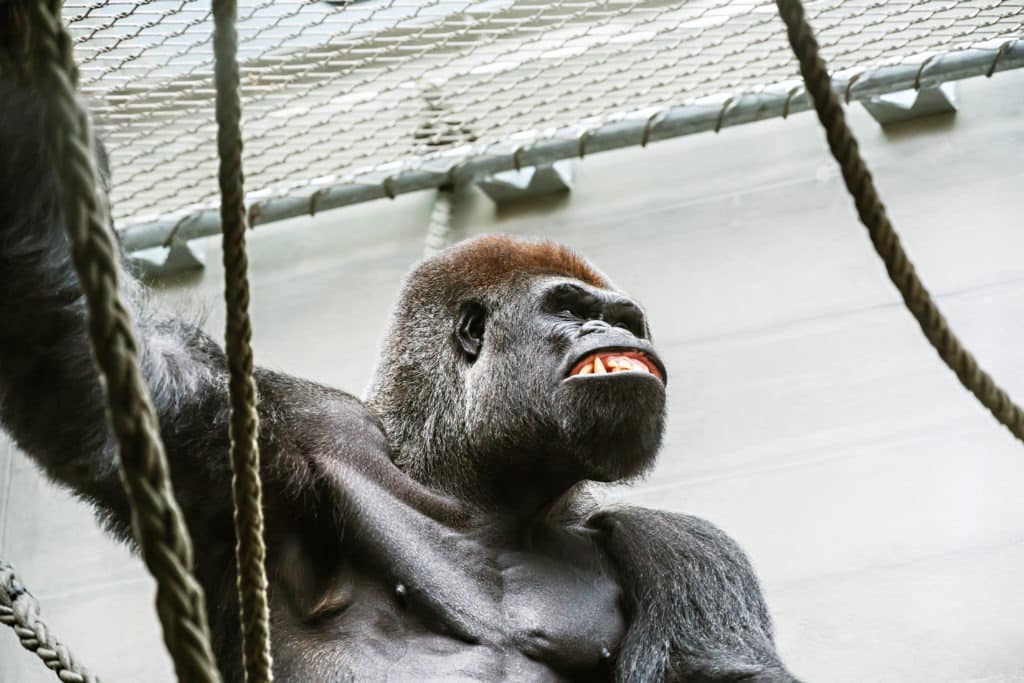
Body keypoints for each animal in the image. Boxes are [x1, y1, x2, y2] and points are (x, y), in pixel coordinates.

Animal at [0, 77, 798, 679]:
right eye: (571, 309)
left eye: (629, 320)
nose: (623, 335)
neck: (472, 483)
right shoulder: (284, 430)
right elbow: (85, 361)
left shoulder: (679, 541)